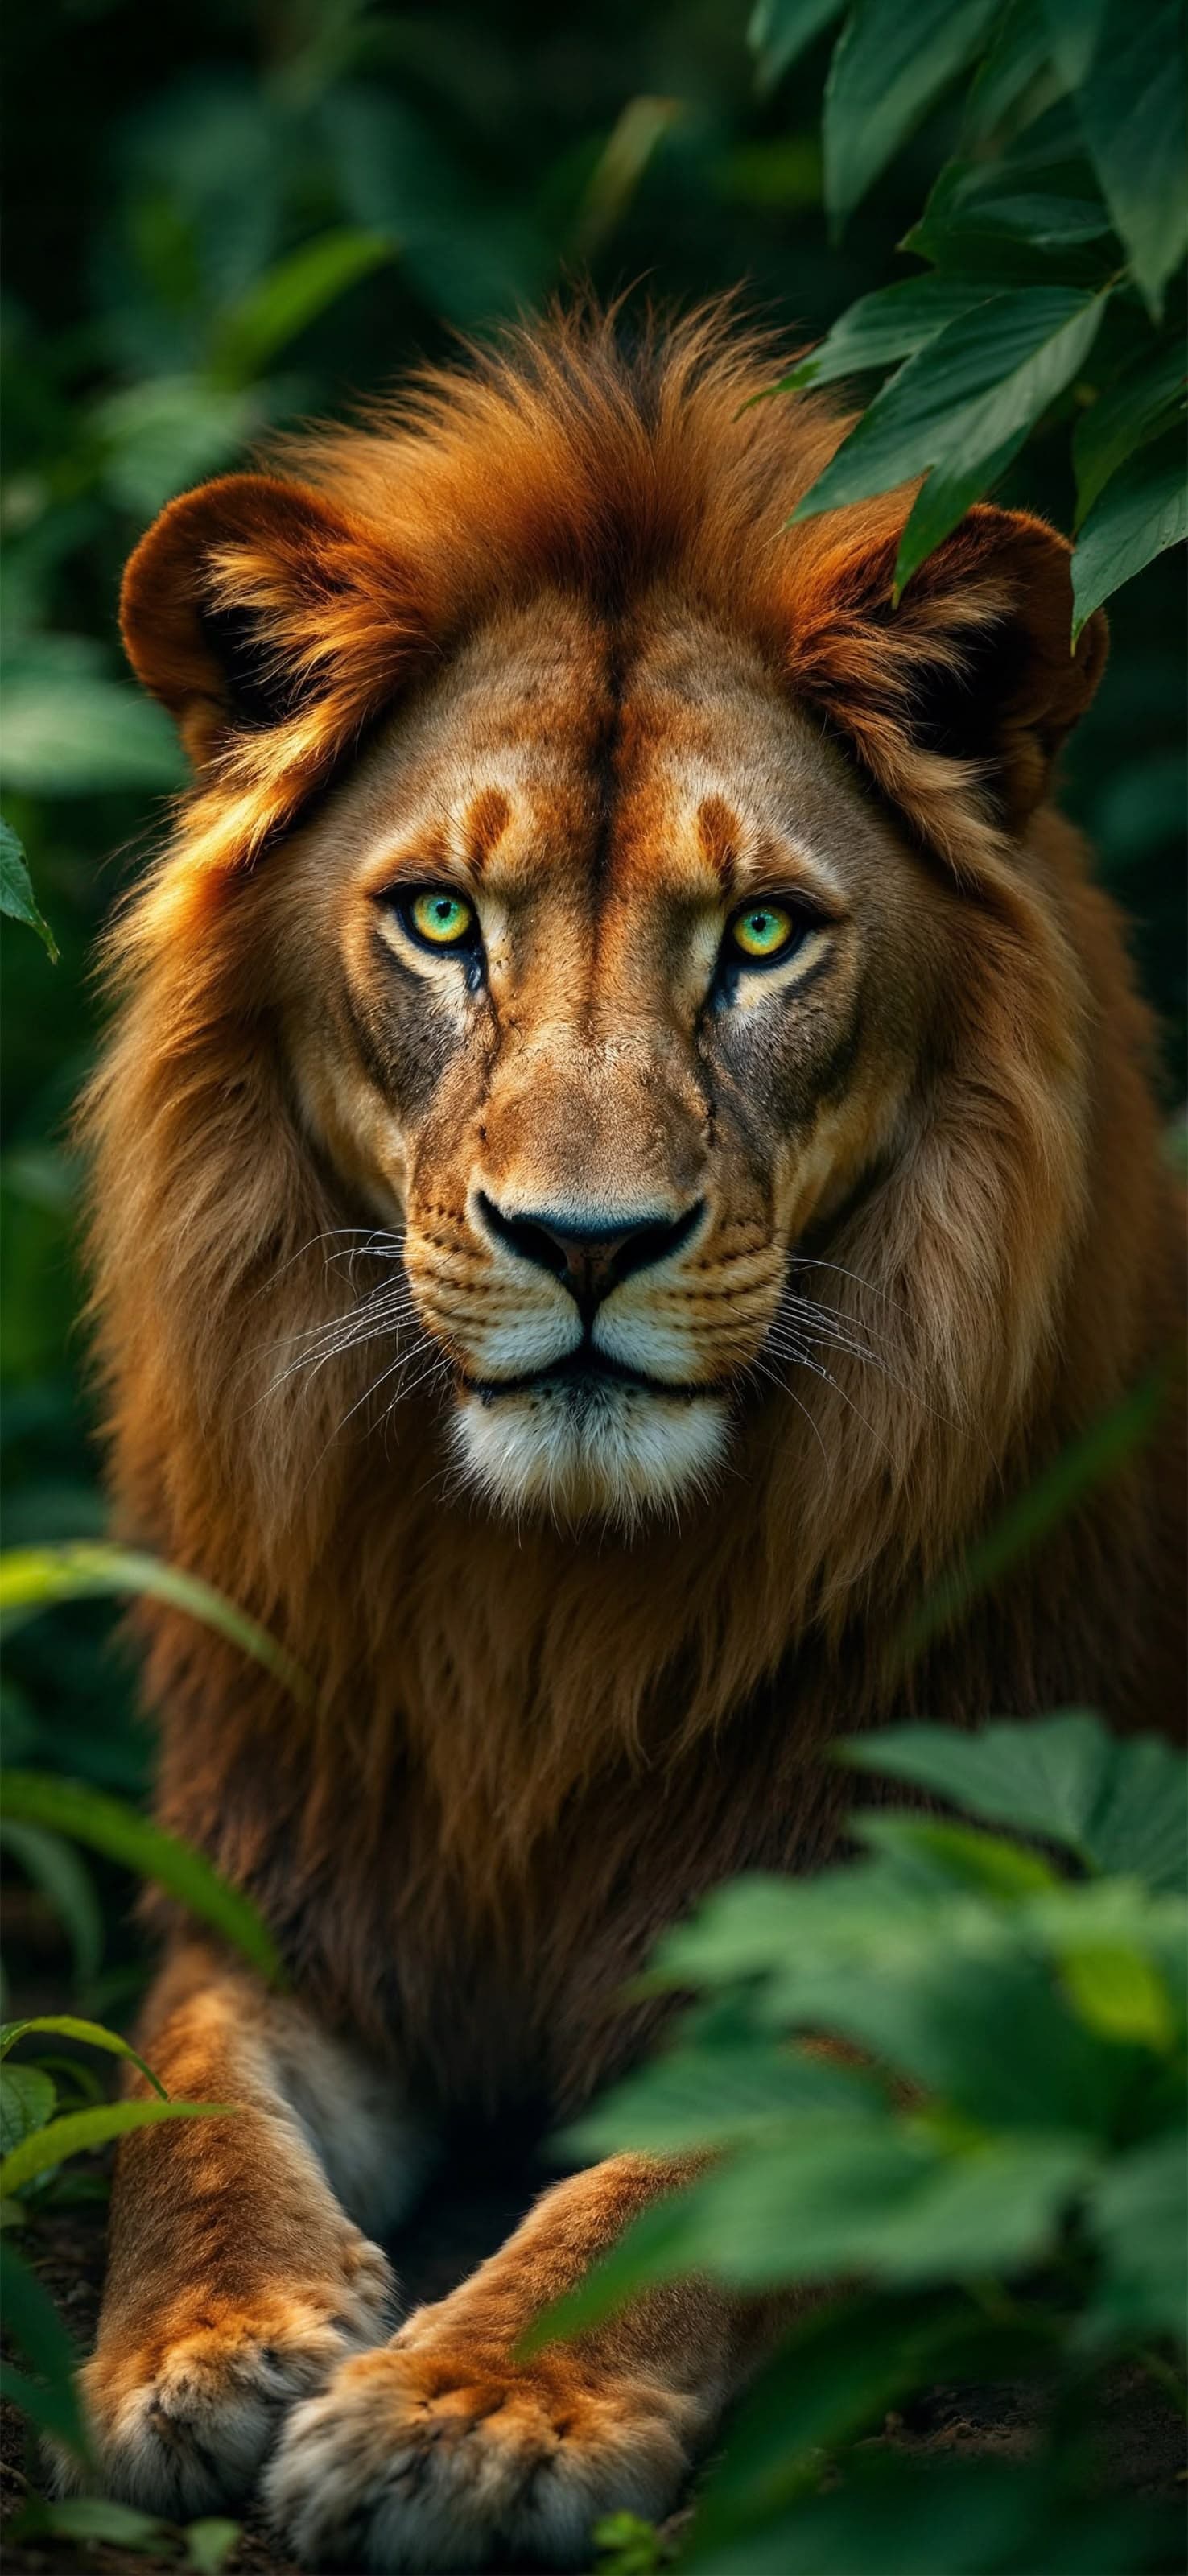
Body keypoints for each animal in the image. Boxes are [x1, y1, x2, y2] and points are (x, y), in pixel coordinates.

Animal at [72, 308, 1183, 2569]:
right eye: (437, 921)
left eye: (759, 934)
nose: (586, 1245)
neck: (540, 1614)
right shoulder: (286, 1880)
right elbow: (177, 2089)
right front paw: (207, 2344)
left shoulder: (925, 1921)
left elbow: (693, 2180)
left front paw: (465, 2416)